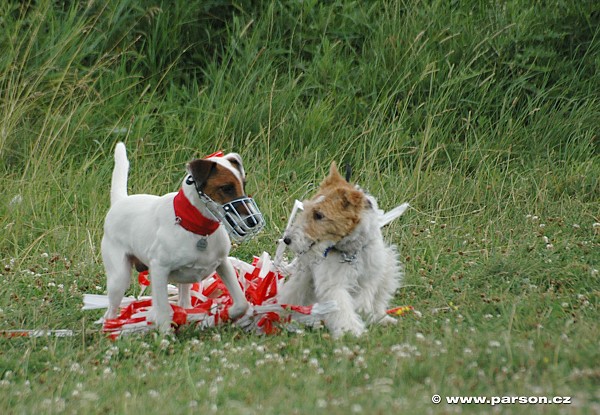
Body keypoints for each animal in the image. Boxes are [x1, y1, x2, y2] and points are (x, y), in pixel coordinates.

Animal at [102, 143, 264, 332]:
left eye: (243, 184)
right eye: (226, 188)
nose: (254, 221)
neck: (196, 227)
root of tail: (120, 201)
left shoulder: (223, 264)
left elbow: (241, 303)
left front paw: (223, 314)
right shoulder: (159, 270)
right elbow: (164, 311)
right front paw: (166, 334)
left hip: (184, 282)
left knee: (184, 302)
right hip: (119, 279)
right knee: (110, 313)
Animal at [278, 162, 404, 338]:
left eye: (319, 215)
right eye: (307, 208)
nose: (287, 239)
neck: (351, 251)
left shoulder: (370, 275)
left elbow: (365, 297)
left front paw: (361, 314)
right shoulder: (333, 283)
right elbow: (342, 307)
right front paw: (351, 331)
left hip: (388, 269)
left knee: (379, 301)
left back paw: (382, 319)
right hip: (304, 277)